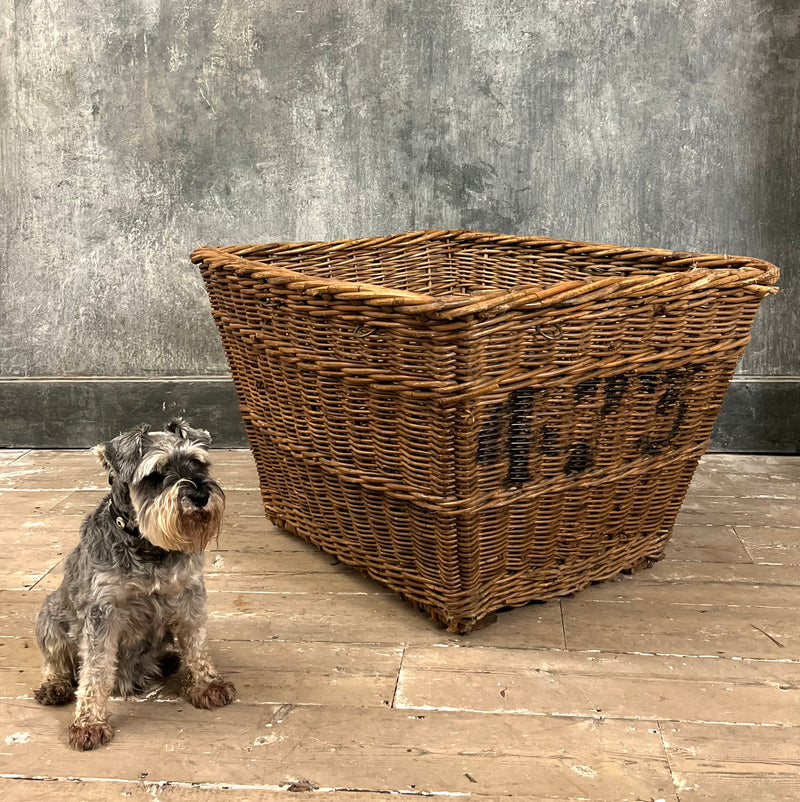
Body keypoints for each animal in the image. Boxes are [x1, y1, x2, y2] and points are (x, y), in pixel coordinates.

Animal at [34, 418, 234, 752]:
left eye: (198, 463)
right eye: (155, 474)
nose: (200, 495)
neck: (148, 545)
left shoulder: (189, 596)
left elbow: (196, 644)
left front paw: (207, 684)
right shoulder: (102, 613)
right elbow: (96, 670)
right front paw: (89, 723)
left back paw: (168, 659)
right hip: (49, 613)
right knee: (57, 661)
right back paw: (55, 685)